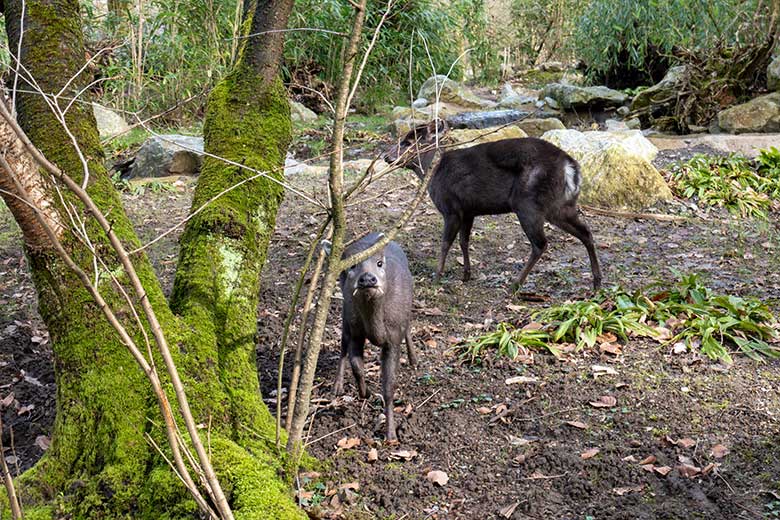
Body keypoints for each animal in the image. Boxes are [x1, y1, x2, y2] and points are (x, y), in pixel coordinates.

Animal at [384, 120, 604, 292]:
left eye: (407, 142)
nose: (386, 156)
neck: (433, 171)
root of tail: (570, 167)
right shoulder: (468, 211)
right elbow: (464, 241)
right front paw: (466, 274)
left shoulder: (451, 208)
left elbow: (445, 243)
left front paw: (437, 277)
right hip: (560, 205)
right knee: (585, 232)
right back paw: (597, 282)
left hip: (528, 204)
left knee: (541, 243)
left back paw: (515, 284)